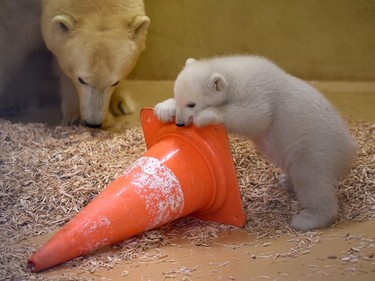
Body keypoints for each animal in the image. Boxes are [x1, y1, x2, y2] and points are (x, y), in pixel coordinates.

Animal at [156, 55, 358, 231]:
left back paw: (307, 219)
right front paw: (164, 109)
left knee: (312, 180)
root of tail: (349, 150)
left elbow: (256, 116)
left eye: (192, 104)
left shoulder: (257, 91)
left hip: (315, 147)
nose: (180, 123)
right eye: (180, 99)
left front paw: (205, 115)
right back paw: (286, 180)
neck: (232, 74)